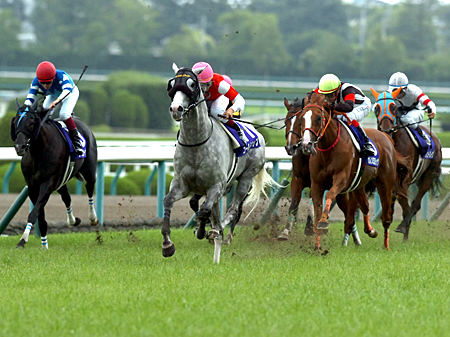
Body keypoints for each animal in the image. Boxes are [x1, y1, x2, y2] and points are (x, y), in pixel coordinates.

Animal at [10, 98, 99, 248]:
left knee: (89, 187)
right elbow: (40, 215)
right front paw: (44, 245)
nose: (19, 146)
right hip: (62, 180)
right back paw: (73, 220)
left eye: (32, 121)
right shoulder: (33, 186)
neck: (39, 152)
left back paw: (93, 218)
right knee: (67, 197)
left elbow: (33, 214)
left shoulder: (48, 184)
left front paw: (22, 240)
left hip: (89, 170)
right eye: (16, 120)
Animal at [163, 63, 280, 262]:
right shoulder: (181, 184)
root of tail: (258, 132)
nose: (175, 108)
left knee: (233, 209)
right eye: (171, 85)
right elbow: (169, 201)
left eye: (192, 85)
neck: (197, 142)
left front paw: (206, 230)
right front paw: (167, 244)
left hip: (246, 177)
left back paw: (220, 231)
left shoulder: (216, 185)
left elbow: (205, 210)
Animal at [282, 96, 362, 244]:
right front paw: (285, 232)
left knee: (347, 210)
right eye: (286, 121)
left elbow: (313, 202)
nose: (291, 147)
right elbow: (294, 203)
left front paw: (310, 228)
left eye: (299, 122)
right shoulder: (298, 179)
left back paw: (355, 238)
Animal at [290, 92, 410, 249]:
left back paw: (386, 246)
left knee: (387, 216)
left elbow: (330, 194)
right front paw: (317, 246)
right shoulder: (316, 184)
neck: (328, 148)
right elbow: (316, 211)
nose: (306, 145)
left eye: (318, 118)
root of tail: (387, 137)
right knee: (365, 206)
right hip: (359, 185)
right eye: (302, 119)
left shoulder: (341, 178)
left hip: (385, 184)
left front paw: (324, 222)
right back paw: (371, 231)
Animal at [370, 86, 442, 239]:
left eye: (393, 107)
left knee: (416, 203)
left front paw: (403, 227)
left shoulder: (405, 177)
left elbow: (403, 201)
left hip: (429, 174)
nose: (386, 129)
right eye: (376, 108)